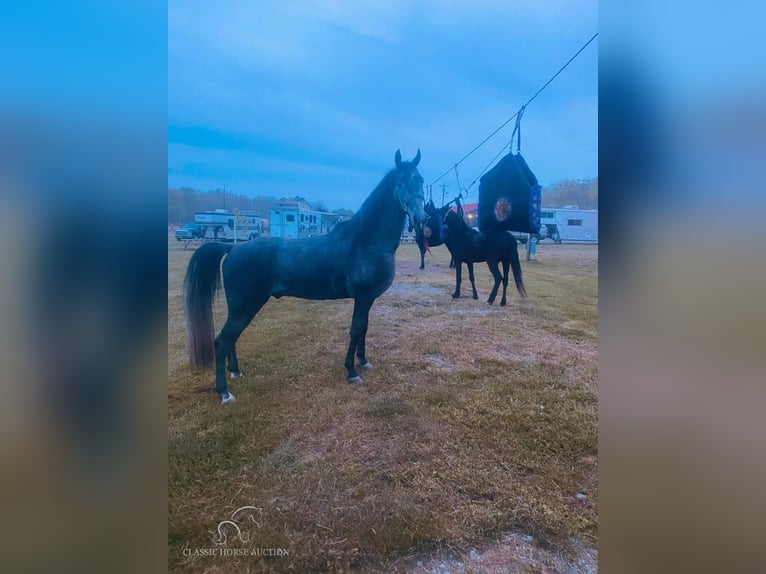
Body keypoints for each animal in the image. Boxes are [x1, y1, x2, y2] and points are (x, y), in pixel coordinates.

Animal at [184, 153, 428, 404]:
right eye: (399, 184)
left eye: (420, 181)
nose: (420, 217)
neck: (365, 242)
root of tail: (232, 249)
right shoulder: (362, 297)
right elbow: (355, 329)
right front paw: (352, 371)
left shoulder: (368, 299)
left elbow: (364, 329)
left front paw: (363, 361)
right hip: (244, 307)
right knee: (223, 341)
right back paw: (224, 392)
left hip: (241, 308)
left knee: (230, 339)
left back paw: (236, 372)